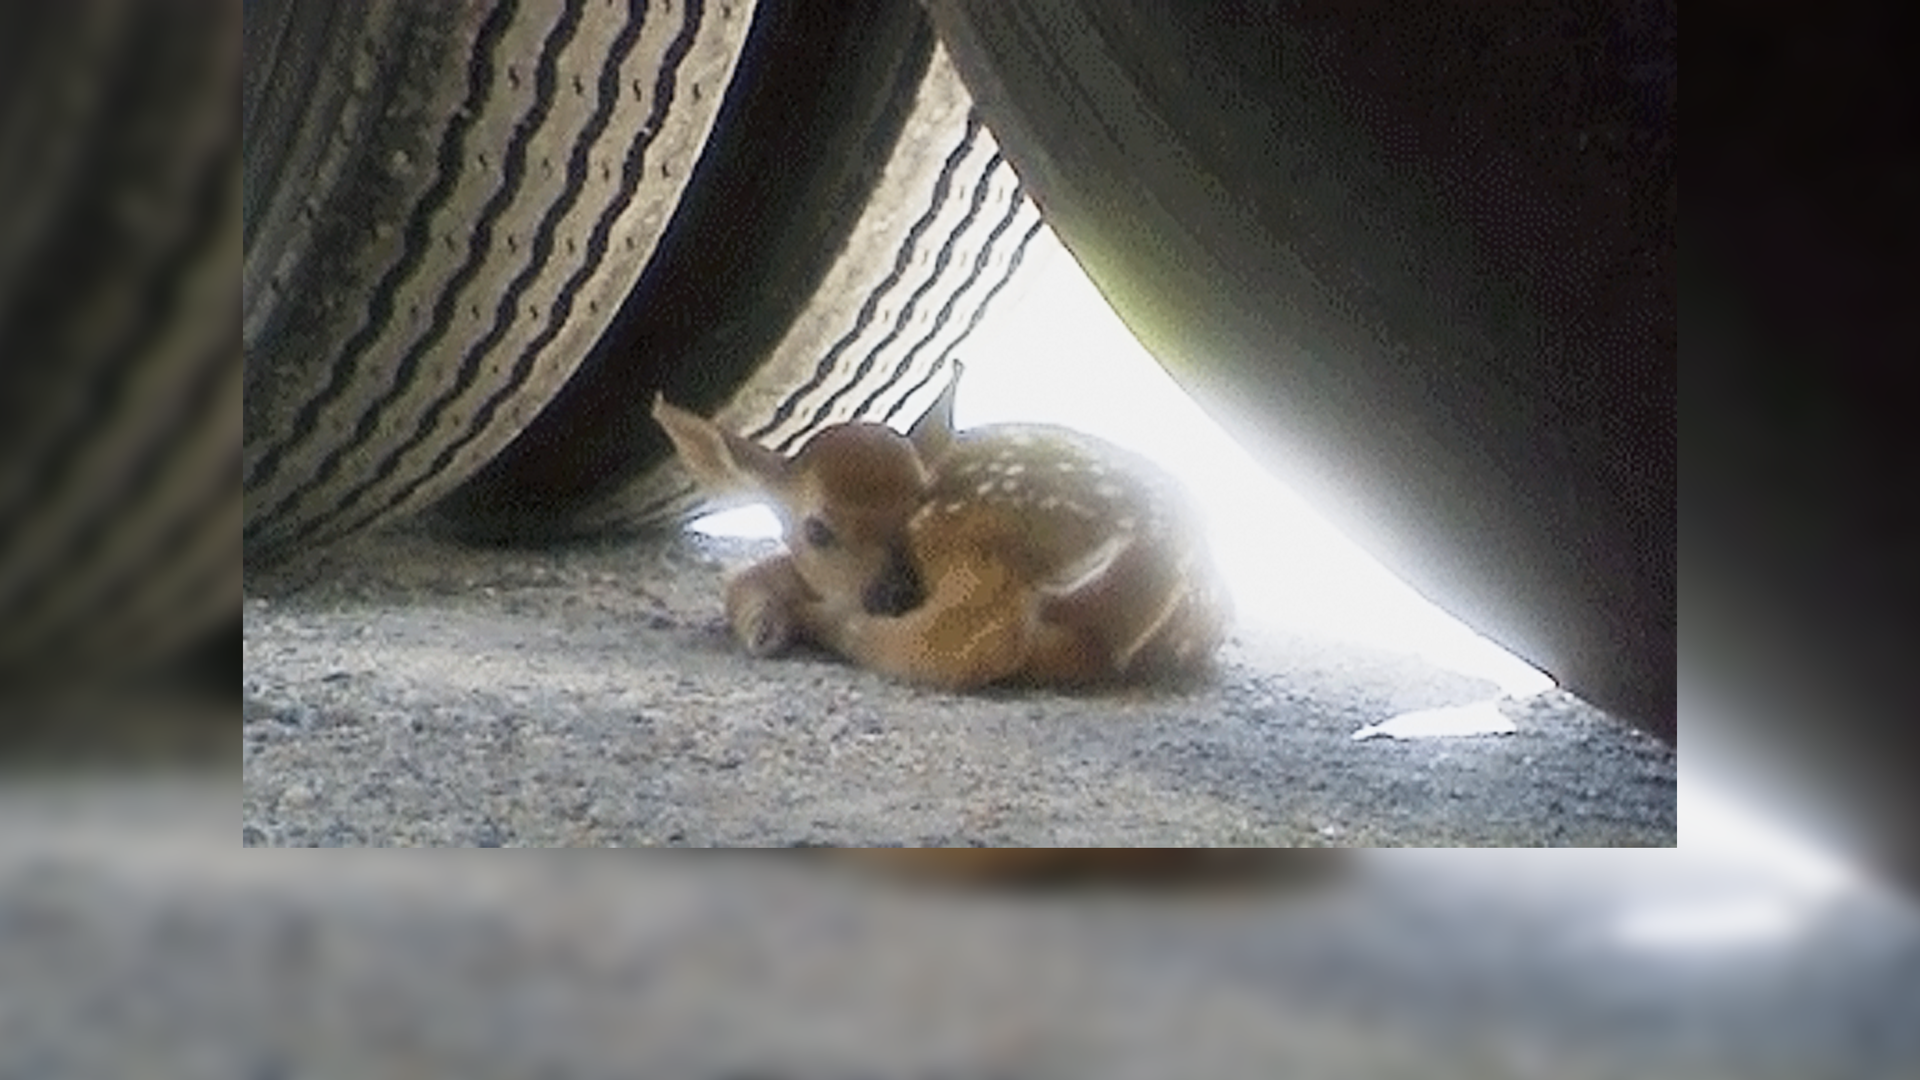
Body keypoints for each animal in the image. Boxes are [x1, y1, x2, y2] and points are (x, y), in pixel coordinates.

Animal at [650, 364, 1230, 690]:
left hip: (973, 535)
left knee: (975, 640)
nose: (896, 591)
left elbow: (748, 575)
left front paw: (765, 625)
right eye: (818, 529)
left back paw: (813, 621)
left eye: (914, 503)